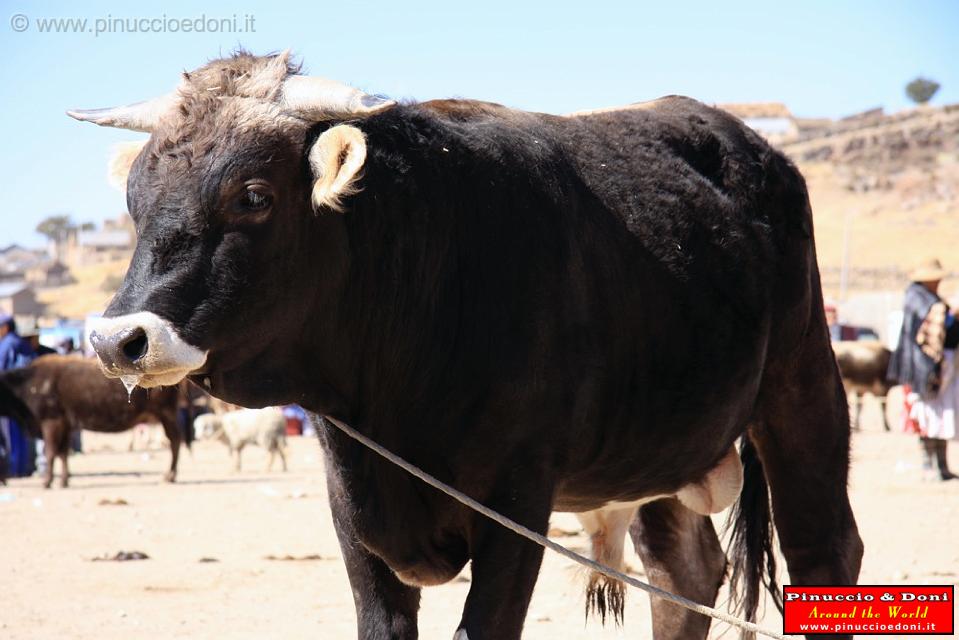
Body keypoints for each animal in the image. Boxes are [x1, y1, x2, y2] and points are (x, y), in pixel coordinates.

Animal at [0, 352, 183, 488]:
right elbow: (63, 453)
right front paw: (63, 480)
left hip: (166, 413)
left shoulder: (51, 422)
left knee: (174, 441)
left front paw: (47, 482)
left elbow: (50, 452)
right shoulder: (65, 425)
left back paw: (170, 476)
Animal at [67, 51, 864, 640]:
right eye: (134, 201)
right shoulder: (352, 510)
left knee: (825, 552)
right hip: (656, 451)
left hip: (801, 388)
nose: (117, 339)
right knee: (682, 577)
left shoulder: (519, 501)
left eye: (253, 196)